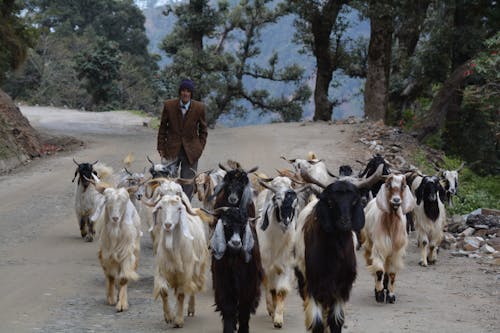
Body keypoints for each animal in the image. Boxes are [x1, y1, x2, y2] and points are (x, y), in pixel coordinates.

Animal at [89, 182, 141, 312]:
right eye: (107, 200)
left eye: (124, 201)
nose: (115, 218)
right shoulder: (106, 254)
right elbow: (110, 275)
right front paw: (111, 298)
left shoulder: (127, 252)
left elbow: (123, 277)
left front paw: (122, 304)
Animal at [151, 192, 208, 326]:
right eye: (161, 207)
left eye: (179, 208)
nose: (168, 225)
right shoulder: (162, 270)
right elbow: (164, 291)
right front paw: (169, 316)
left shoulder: (186, 272)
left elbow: (181, 294)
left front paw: (178, 320)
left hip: (197, 268)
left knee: (192, 287)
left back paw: (191, 309)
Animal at [258, 176, 300, 326]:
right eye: (277, 200)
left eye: (294, 204)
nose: (286, 222)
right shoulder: (265, 265)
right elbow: (270, 288)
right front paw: (272, 310)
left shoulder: (286, 265)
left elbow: (280, 290)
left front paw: (278, 319)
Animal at [294, 180, 366, 332]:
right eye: (331, 202)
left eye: (353, 201)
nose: (345, 222)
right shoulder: (314, 286)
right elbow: (317, 323)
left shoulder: (341, 288)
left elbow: (336, 321)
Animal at [362, 174, 416, 304]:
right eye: (388, 185)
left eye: (403, 186)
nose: (396, 200)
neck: (391, 223)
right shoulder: (379, 247)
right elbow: (379, 271)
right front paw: (380, 294)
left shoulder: (396, 251)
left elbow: (391, 274)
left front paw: (391, 295)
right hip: (369, 244)